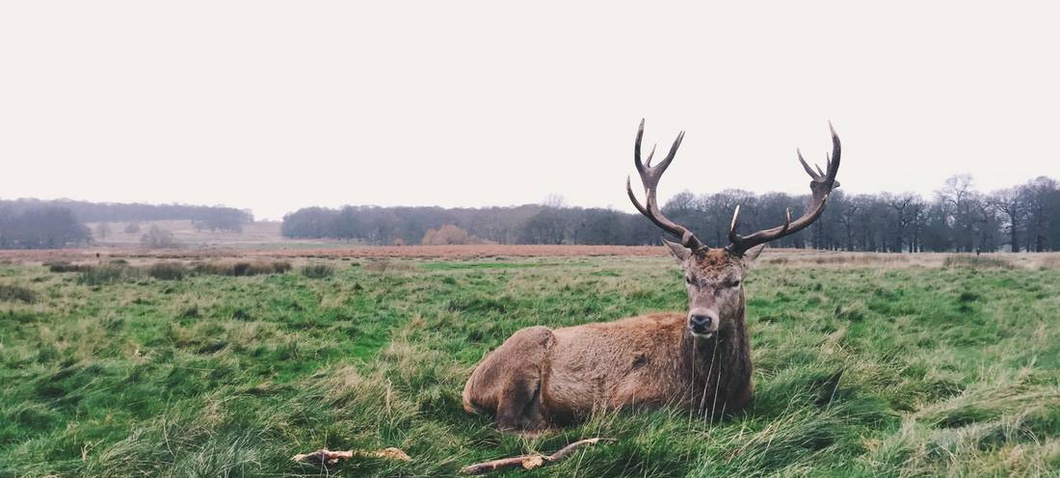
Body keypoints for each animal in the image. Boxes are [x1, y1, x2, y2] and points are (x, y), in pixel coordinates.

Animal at [460, 118, 839, 430]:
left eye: (735, 280)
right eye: (688, 277)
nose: (700, 320)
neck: (711, 392)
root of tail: (470, 384)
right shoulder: (625, 401)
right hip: (521, 359)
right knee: (507, 424)